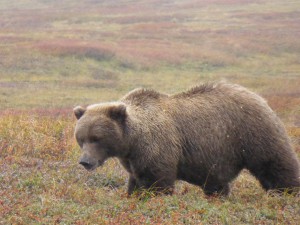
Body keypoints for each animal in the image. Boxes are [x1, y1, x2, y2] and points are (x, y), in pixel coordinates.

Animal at [73, 81, 300, 196]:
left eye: (96, 138)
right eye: (81, 138)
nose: (85, 161)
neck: (132, 141)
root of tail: (258, 96)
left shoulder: (157, 146)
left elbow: (157, 182)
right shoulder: (133, 159)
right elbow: (135, 182)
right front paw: (132, 195)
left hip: (252, 131)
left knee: (274, 163)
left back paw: (286, 191)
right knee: (217, 183)